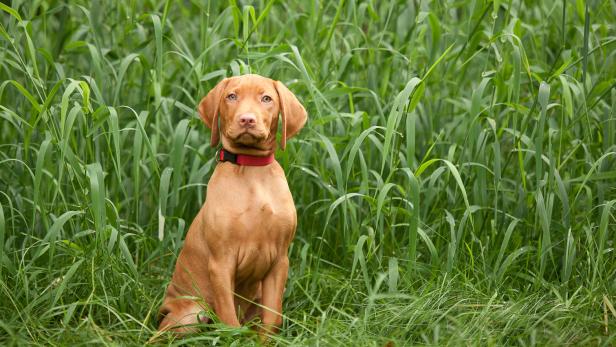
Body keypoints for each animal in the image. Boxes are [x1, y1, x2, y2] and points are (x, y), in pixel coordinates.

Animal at [156, 74, 306, 338]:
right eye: (231, 96)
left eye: (266, 98)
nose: (247, 119)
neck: (251, 170)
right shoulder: (221, 261)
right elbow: (228, 319)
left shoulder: (279, 260)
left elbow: (272, 319)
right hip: (190, 314)